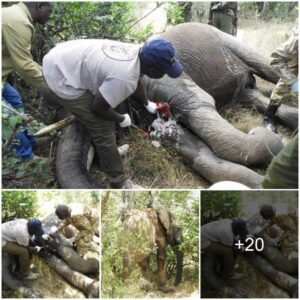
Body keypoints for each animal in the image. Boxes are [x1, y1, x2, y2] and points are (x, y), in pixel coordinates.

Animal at [54, 23, 298, 189]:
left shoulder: (165, 80)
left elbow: (202, 106)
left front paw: (267, 142)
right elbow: (188, 144)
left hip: (229, 39)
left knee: (271, 69)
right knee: (254, 95)